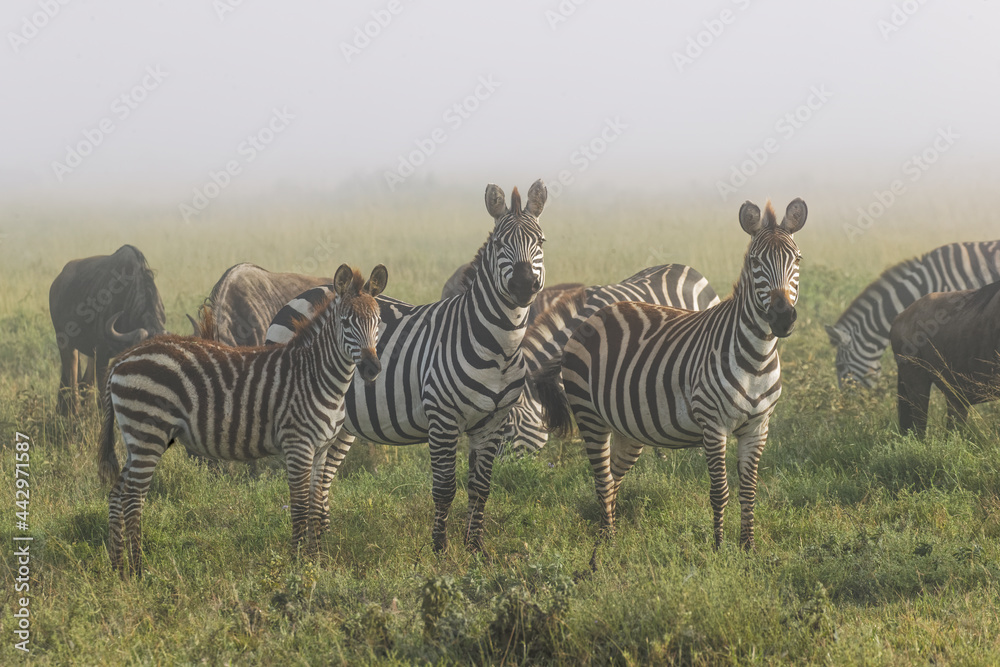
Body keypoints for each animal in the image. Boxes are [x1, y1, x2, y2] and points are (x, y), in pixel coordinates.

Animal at [98, 264, 387, 575]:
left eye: (378, 322)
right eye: (346, 323)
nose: (372, 369)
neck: (316, 375)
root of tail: (122, 359)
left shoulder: (321, 449)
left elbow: (317, 507)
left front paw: (317, 562)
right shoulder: (298, 445)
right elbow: (300, 508)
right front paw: (298, 565)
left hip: (137, 439)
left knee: (117, 494)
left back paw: (118, 568)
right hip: (148, 434)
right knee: (133, 499)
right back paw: (139, 570)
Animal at [269, 180, 547, 554]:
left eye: (541, 242)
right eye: (500, 244)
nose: (523, 286)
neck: (499, 347)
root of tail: (306, 292)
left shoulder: (492, 424)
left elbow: (481, 488)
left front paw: (475, 549)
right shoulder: (443, 419)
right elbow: (445, 489)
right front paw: (440, 550)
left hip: (341, 423)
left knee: (321, 478)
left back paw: (322, 544)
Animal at [534, 199, 806, 553]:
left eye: (797, 259)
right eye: (755, 261)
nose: (783, 318)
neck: (757, 359)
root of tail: (590, 319)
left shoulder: (758, 428)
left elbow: (749, 491)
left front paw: (749, 548)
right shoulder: (713, 425)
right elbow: (720, 491)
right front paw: (719, 548)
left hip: (626, 427)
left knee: (613, 479)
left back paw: (611, 535)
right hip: (590, 417)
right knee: (602, 478)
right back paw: (608, 543)